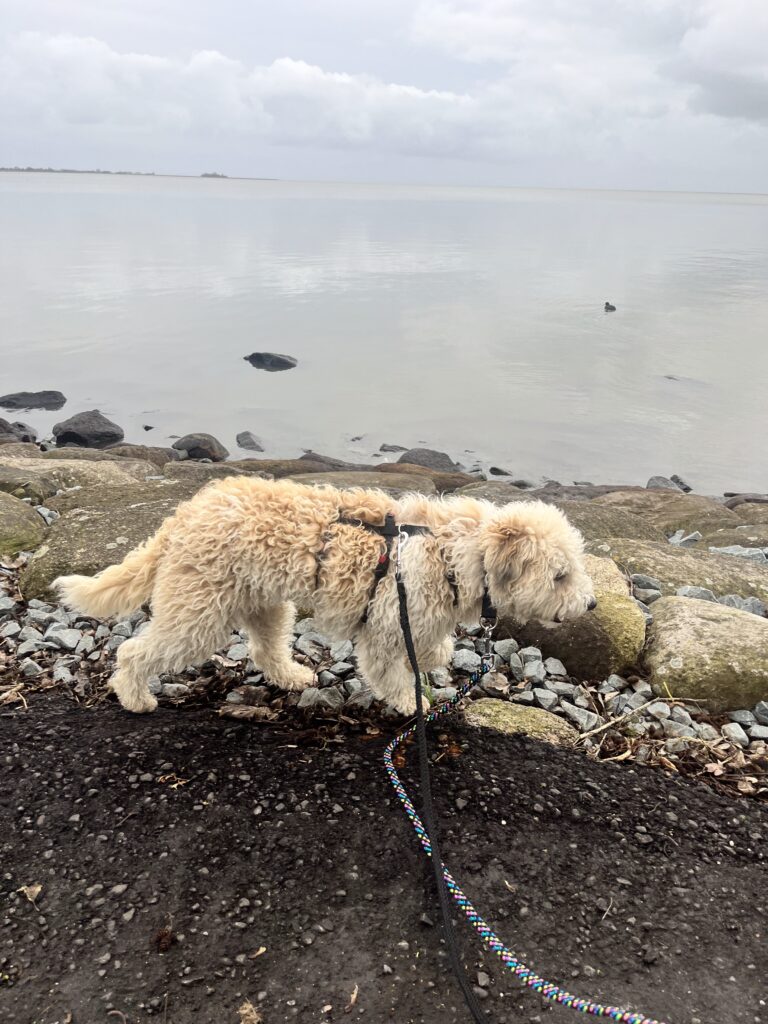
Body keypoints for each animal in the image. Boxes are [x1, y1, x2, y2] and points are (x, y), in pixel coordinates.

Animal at [54, 477, 598, 712]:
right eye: (560, 575)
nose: (592, 605)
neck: (451, 548)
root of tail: (184, 514)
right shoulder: (386, 627)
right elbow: (393, 674)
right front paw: (415, 704)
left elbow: (433, 648)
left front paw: (436, 654)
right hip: (198, 613)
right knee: (134, 651)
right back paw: (134, 696)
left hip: (265, 602)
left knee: (265, 650)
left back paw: (292, 677)